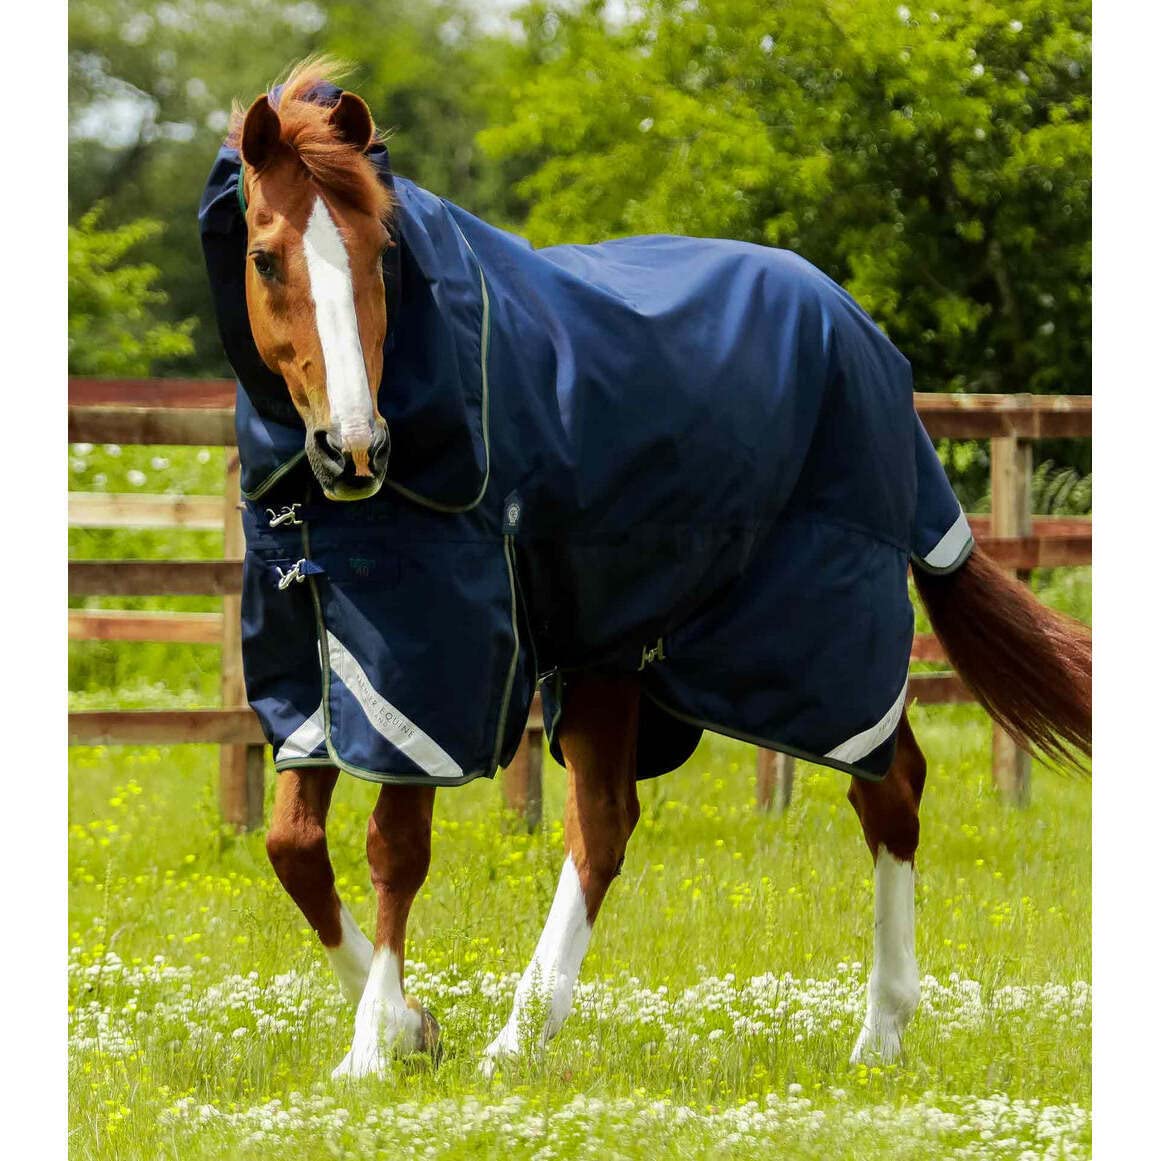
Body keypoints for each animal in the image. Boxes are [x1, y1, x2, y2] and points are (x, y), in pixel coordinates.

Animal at [199, 59, 1091, 1081]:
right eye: (267, 258)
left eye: (378, 249)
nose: (354, 448)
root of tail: (866, 341)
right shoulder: (316, 662)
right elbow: (293, 844)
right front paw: (411, 1025)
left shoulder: (432, 669)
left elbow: (395, 846)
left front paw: (373, 1045)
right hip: (616, 648)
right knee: (607, 822)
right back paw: (528, 1034)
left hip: (814, 634)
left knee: (886, 786)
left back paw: (872, 1032)